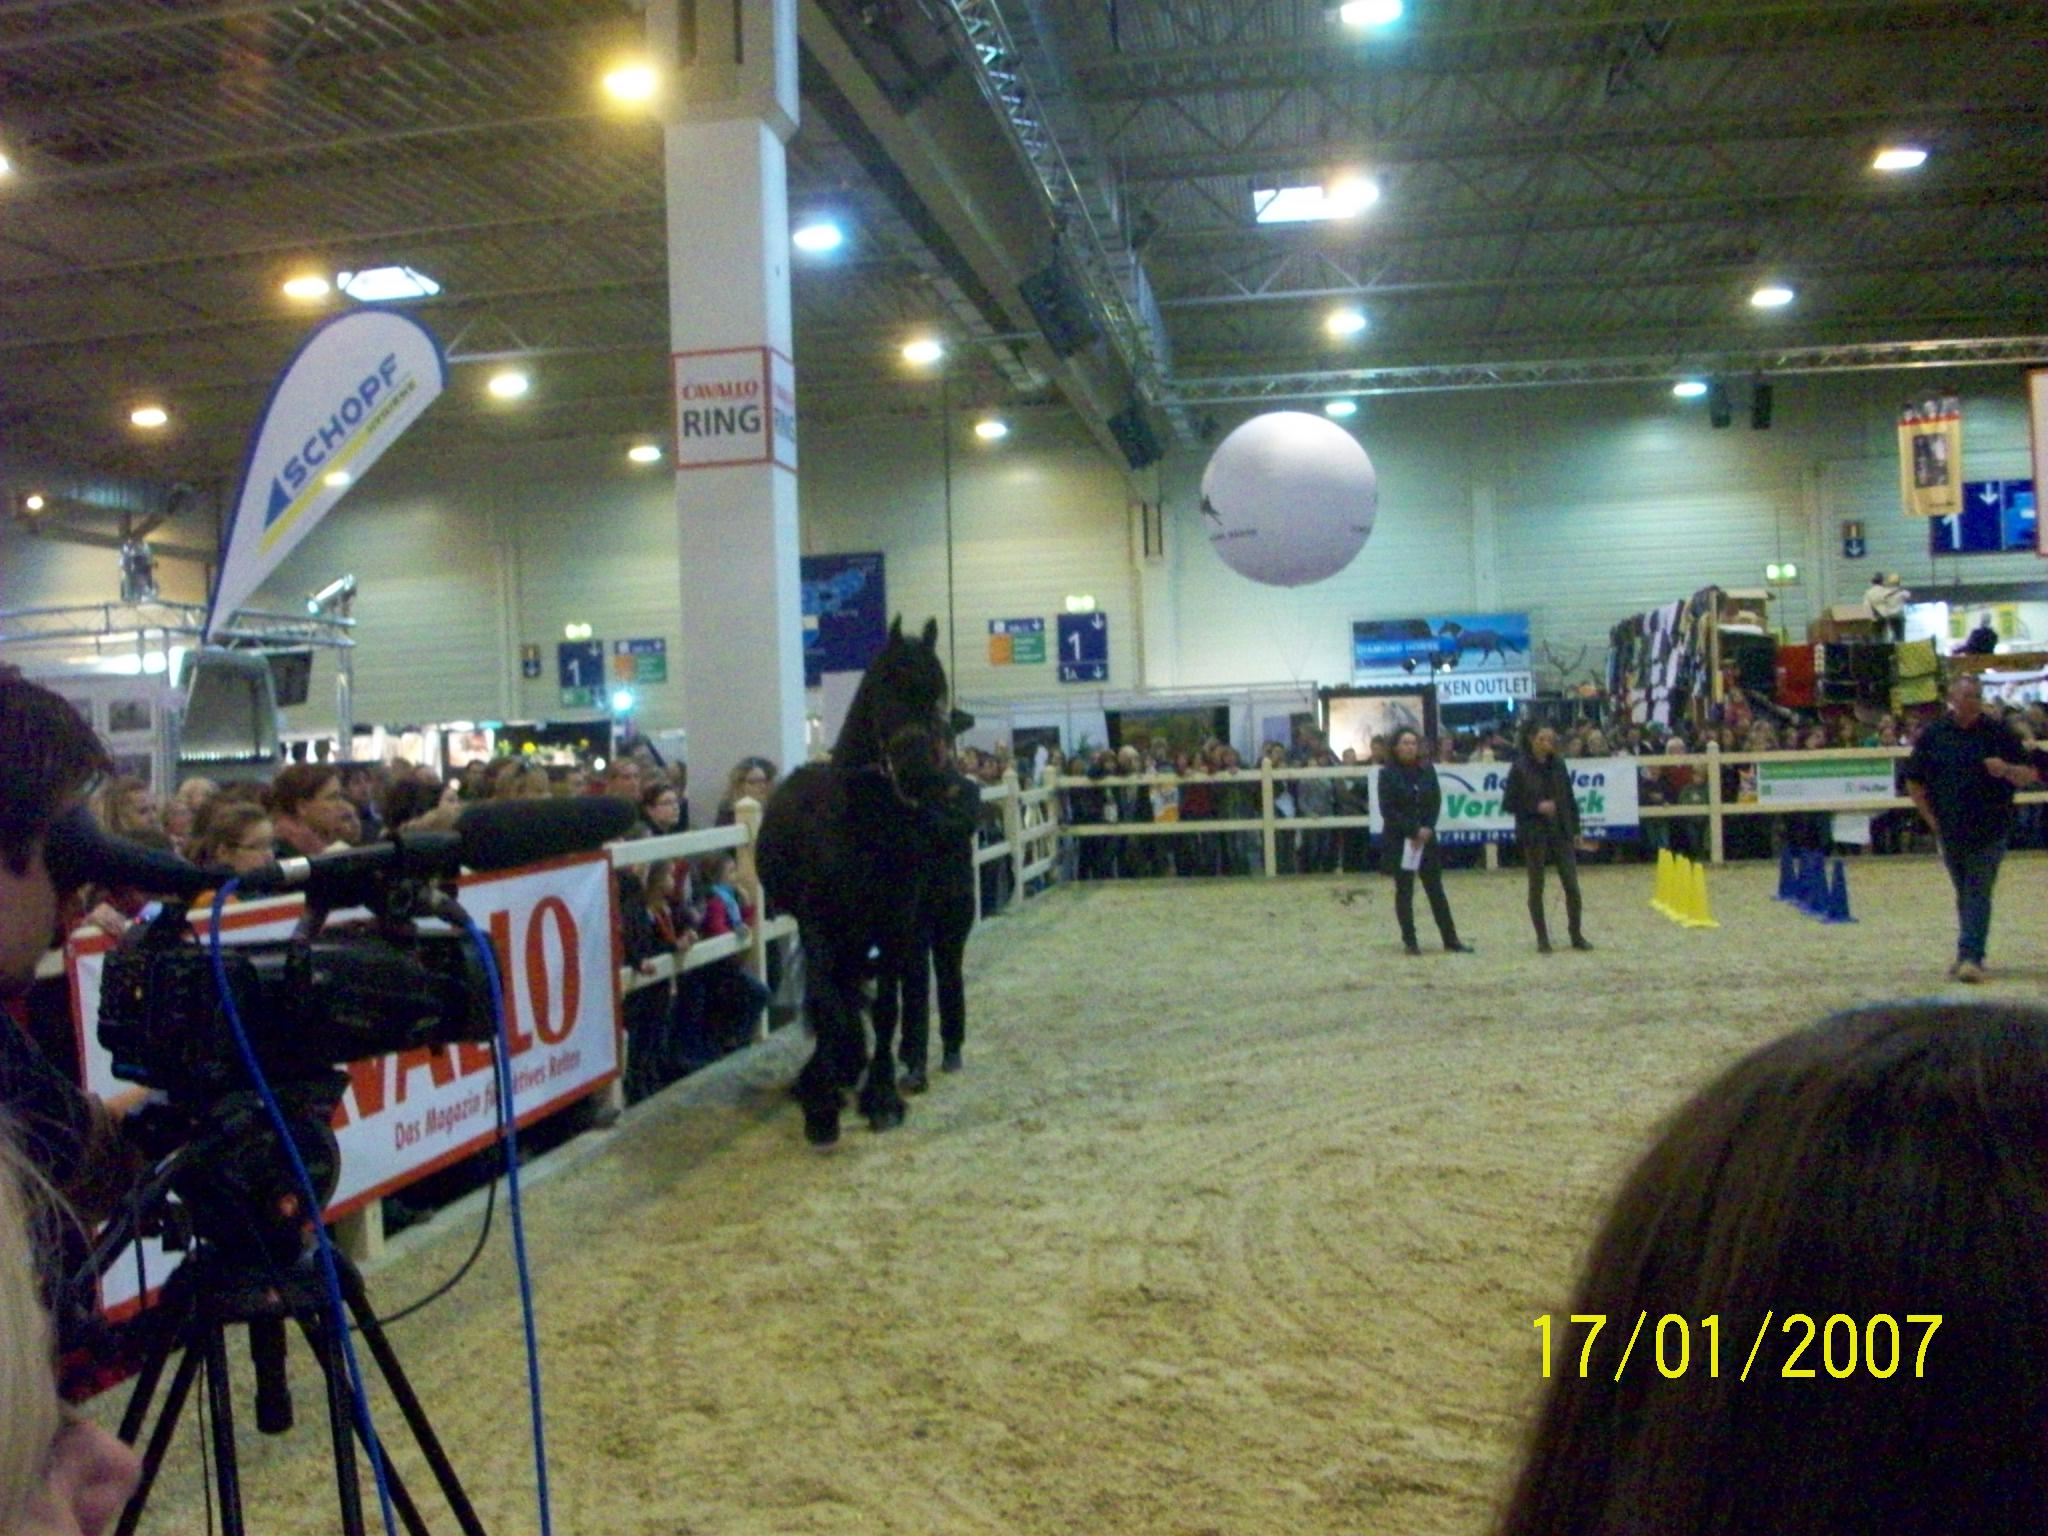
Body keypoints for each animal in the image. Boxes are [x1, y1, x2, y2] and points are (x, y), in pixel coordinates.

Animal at [754, 616, 957, 1146]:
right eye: (883, 689)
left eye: (937, 693)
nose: (920, 774)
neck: (864, 828)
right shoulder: (819, 927)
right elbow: (829, 1006)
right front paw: (823, 1108)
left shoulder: (894, 927)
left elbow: (885, 1008)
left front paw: (882, 1096)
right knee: (833, 997)